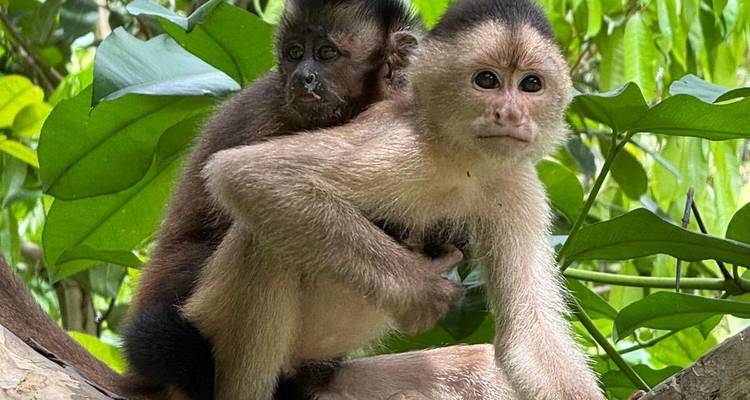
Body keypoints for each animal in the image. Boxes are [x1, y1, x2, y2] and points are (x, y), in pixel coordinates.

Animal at [185, 0, 606, 398]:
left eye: (530, 85)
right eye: (487, 80)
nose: (511, 113)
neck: (462, 164)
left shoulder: (516, 183)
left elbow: (528, 336)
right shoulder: (404, 142)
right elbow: (252, 174)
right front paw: (421, 292)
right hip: (206, 317)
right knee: (264, 239)